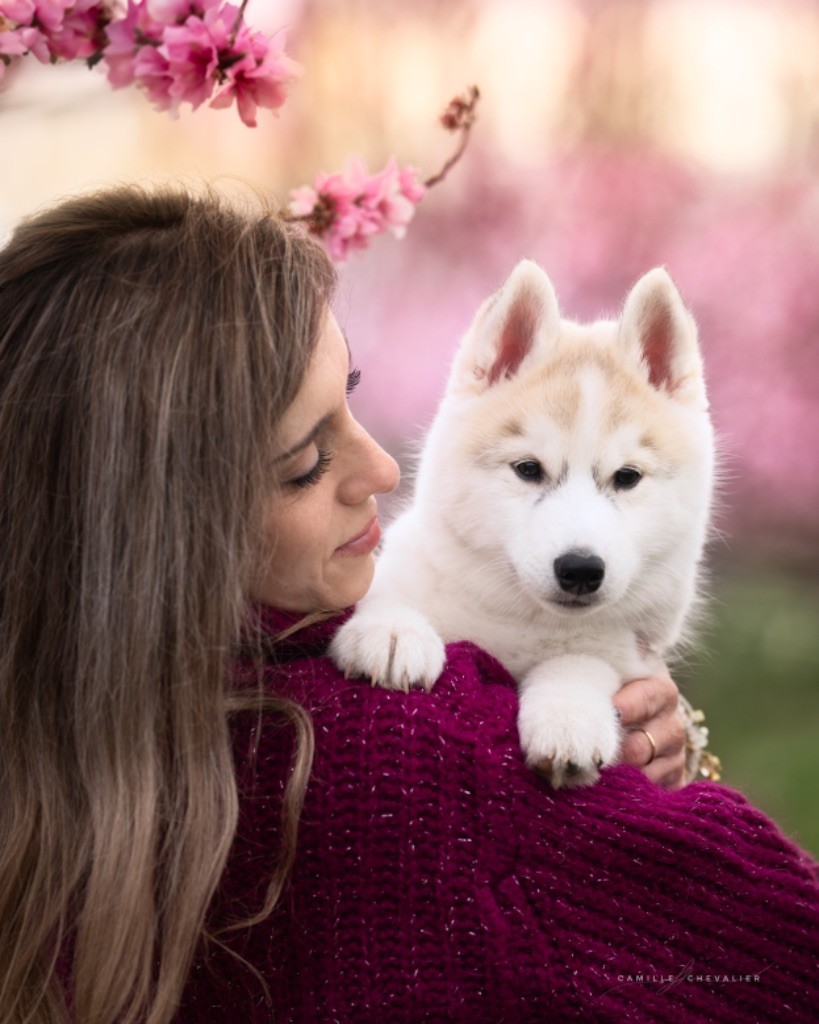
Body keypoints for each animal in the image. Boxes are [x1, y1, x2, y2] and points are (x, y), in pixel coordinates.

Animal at [329, 260, 712, 786]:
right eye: (528, 469)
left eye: (627, 478)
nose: (580, 569)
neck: (520, 621)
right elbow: (389, 591)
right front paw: (392, 631)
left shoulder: (624, 653)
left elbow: (581, 661)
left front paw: (568, 717)